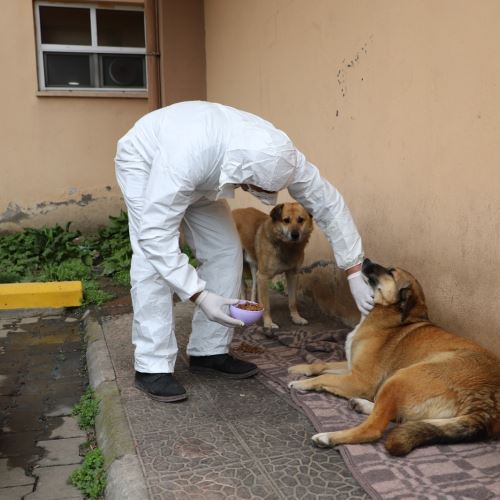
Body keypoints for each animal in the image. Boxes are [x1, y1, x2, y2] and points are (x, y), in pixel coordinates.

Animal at [290, 260, 500, 456]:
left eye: (391, 272)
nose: (365, 260)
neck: (389, 312)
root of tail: (487, 402)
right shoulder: (352, 368)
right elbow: (321, 364)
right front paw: (298, 369)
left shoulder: (361, 380)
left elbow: (325, 377)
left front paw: (301, 384)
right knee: (398, 417)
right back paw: (362, 404)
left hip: (400, 377)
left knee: (374, 427)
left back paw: (329, 437)